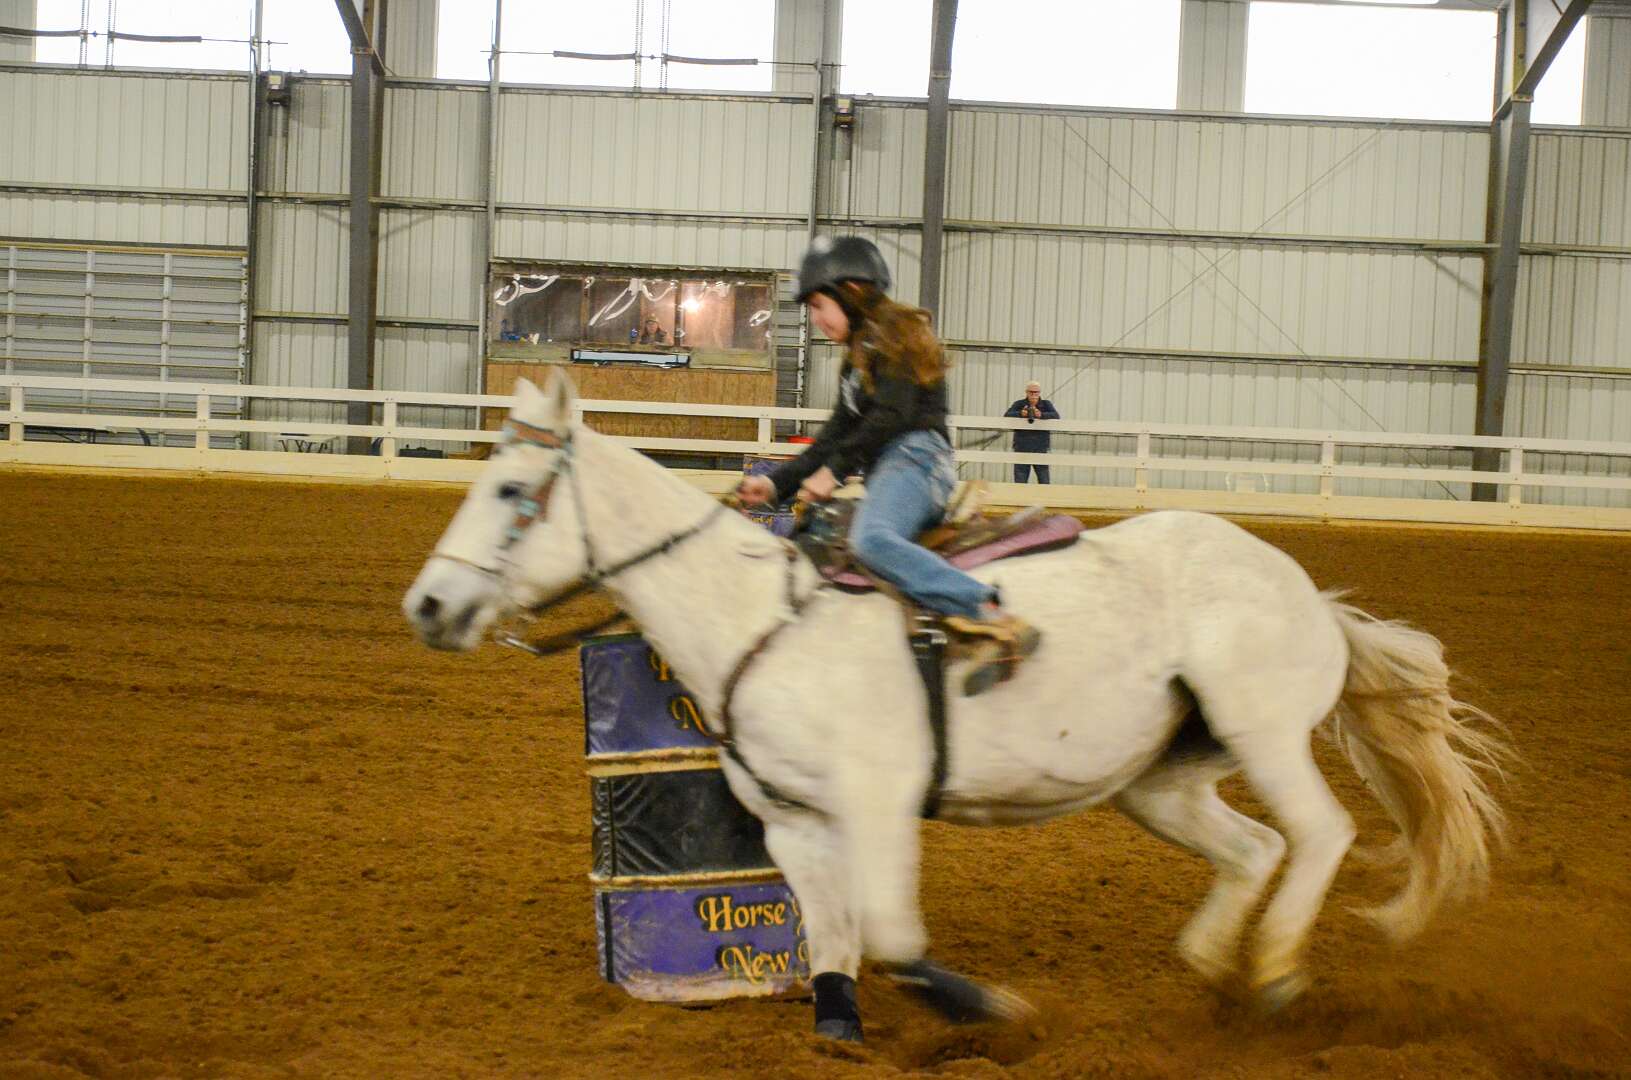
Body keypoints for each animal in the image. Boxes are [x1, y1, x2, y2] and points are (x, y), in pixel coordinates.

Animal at [402, 370, 1508, 1043]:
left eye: (510, 492)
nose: (427, 605)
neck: (765, 615)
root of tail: (1308, 594)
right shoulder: (793, 820)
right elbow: (834, 943)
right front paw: (838, 1032)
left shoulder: (879, 800)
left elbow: (893, 939)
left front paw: (995, 1011)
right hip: (1158, 782)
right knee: (1254, 849)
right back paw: (1205, 968)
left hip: (1264, 733)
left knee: (1316, 834)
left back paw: (1274, 972)